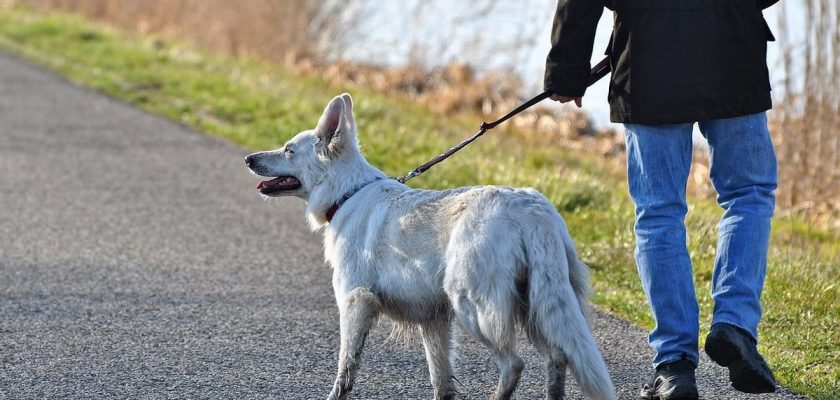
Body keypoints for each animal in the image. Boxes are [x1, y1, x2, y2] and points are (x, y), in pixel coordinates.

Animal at [246, 94, 612, 400]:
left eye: (288, 150)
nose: (248, 158)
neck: (347, 193)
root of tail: (531, 209)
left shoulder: (355, 302)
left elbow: (345, 367)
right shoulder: (433, 321)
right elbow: (441, 379)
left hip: (474, 307)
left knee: (514, 363)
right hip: (537, 306)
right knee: (558, 357)